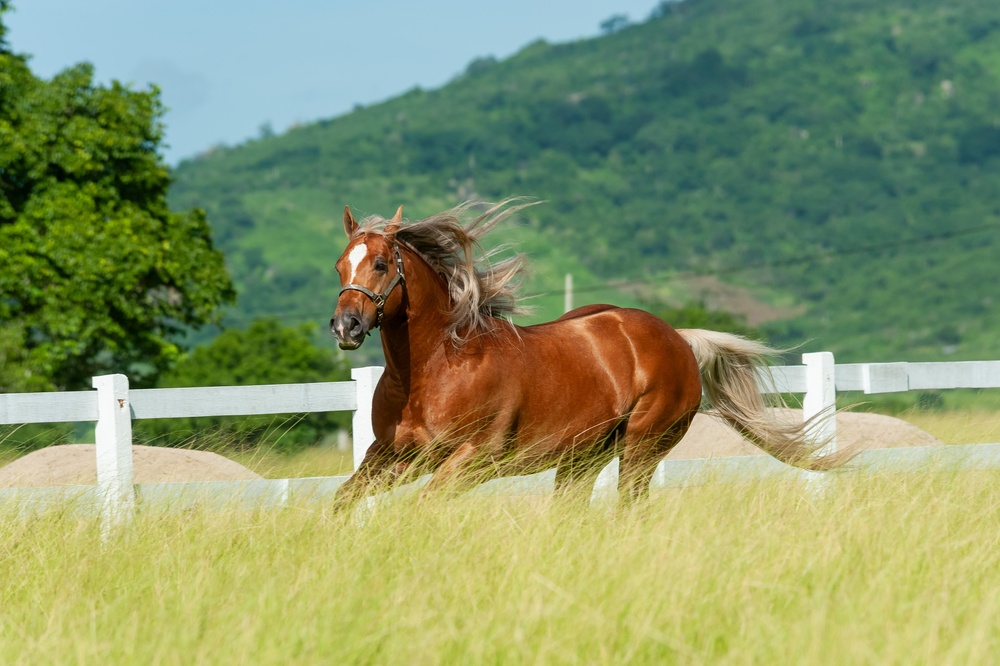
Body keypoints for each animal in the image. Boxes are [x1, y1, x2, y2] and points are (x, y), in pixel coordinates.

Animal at [329, 200, 850, 509]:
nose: (345, 326)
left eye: (381, 264)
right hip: (583, 458)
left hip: (641, 448)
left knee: (630, 507)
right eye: (339, 266)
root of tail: (677, 338)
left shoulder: (472, 458)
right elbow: (342, 501)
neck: (435, 369)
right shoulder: (390, 455)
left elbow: (420, 509)